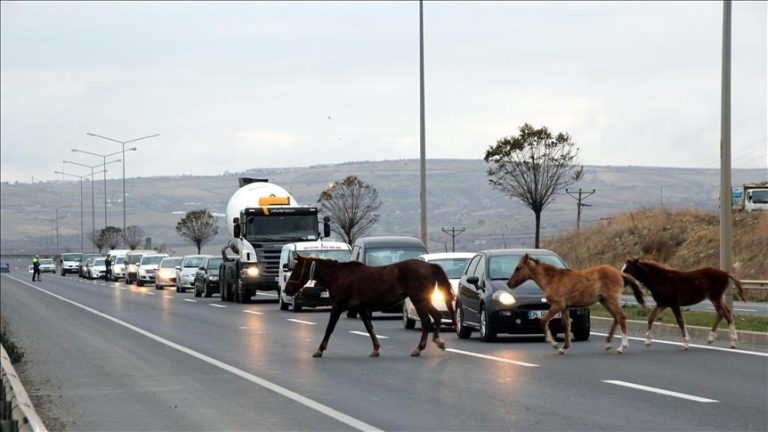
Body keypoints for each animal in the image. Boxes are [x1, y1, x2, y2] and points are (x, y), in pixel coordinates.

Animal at [286, 253, 456, 358]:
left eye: (296, 270)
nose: (287, 289)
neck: (339, 276)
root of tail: (430, 267)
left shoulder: (338, 306)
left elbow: (330, 328)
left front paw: (319, 349)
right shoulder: (362, 307)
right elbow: (369, 327)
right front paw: (375, 349)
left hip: (419, 300)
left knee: (429, 320)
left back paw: (422, 347)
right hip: (421, 300)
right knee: (435, 317)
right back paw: (434, 343)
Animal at [508, 253, 644, 354]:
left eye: (518, 268)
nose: (509, 283)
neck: (552, 279)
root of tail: (620, 274)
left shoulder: (557, 305)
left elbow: (544, 320)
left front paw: (554, 344)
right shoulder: (565, 308)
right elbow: (566, 325)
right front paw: (564, 348)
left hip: (611, 299)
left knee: (621, 317)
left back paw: (622, 347)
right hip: (604, 301)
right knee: (616, 318)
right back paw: (608, 344)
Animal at [620, 258, 748, 350]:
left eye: (628, 269)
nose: (620, 280)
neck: (661, 280)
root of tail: (725, 273)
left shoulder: (674, 304)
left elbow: (680, 321)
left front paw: (686, 343)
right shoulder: (662, 304)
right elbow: (651, 318)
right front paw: (647, 341)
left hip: (715, 297)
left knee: (725, 314)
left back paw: (732, 341)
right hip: (716, 298)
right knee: (724, 314)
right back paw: (713, 338)